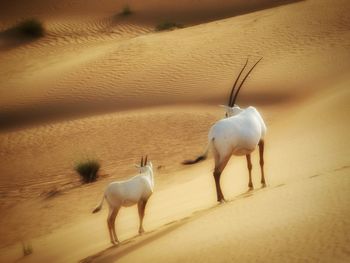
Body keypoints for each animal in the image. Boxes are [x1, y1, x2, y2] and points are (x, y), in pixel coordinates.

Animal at [185, 57, 266, 202]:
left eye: (226, 113)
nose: (225, 116)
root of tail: (213, 134)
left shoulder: (247, 150)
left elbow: (249, 166)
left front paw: (251, 185)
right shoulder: (262, 140)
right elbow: (261, 162)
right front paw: (263, 183)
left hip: (217, 154)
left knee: (214, 172)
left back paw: (220, 197)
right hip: (226, 154)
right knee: (217, 173)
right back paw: (221, 199)